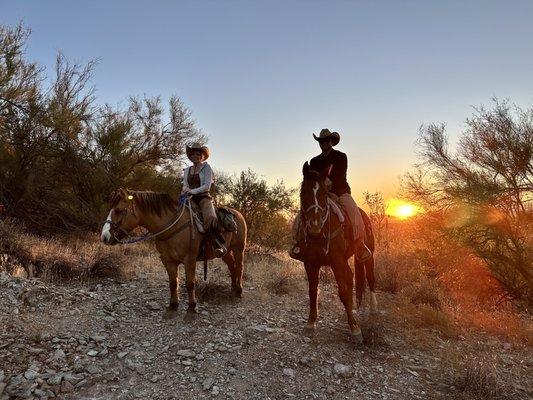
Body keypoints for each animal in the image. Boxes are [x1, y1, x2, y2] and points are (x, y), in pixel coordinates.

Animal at [101, 189, 246, 318]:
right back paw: (233, 288)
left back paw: (239, 291)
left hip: (239, 249)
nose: (104, 237)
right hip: (225, 252)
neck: (172, 227)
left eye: (119, 210)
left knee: (239, 267)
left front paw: (192, 308)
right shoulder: (167, 260)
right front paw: (173, 306)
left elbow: (190, 284)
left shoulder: (189, 260)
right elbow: (173, 283)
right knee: (232, 266)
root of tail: (238, 213)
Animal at [298, 162, 376, 344]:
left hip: (368, 256)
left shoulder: (336, 261)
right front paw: (310, 323)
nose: (315, 226)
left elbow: (343, 292)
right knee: (351, 277)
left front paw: (355, 329)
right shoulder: (310, 263)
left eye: (324, 193)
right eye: (303, 192)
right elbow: (313, 292)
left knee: (370, 277)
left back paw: (373, 309)